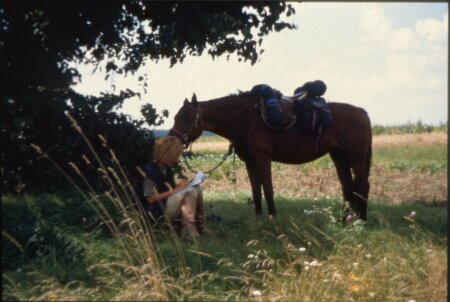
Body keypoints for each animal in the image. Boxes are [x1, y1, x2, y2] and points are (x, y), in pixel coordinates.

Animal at [169, 91, 372, 221]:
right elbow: (255, 189)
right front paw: (259, 216)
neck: (246, 119)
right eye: (176, 117)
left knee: (362, 185)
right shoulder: (249, 162)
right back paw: (344, 217)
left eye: (187, 118)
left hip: (356, 159)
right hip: (339, 157)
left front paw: (272, 216)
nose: (173, 138)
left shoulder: (262, 159)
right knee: (348, 186)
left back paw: (361, 219)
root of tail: (361, 111)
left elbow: (267, 188)